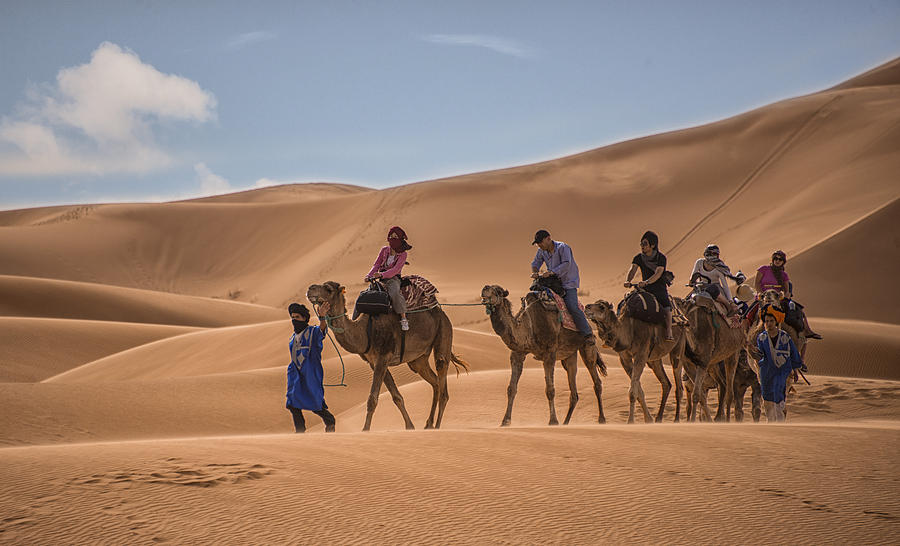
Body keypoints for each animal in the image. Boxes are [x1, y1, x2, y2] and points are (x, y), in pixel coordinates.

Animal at [306, 280, 468, 430]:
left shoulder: (383, 357)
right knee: (435, 382)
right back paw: (428, 424)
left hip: (444, 332)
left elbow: (372, 399)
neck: (364, 330)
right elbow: (397, 396)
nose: (310, 289)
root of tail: (442, 313)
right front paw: (410, 427)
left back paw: (438, 426)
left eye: (328, 289)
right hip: (418, 360)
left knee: (443, 385)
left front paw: (365, 430)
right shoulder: (374, 362)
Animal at [478, 282, 604, 428]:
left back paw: (601, 419)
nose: (485, 288)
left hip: (587, 346)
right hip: (569, 355)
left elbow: (550, 390)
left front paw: (553, 421)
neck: (529, 326)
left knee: (596, 380)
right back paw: (566, 422)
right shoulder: (518, 353)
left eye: (498, 291)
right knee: (574, 392)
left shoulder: (549, 353)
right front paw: (505, 421)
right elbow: (511, 388)